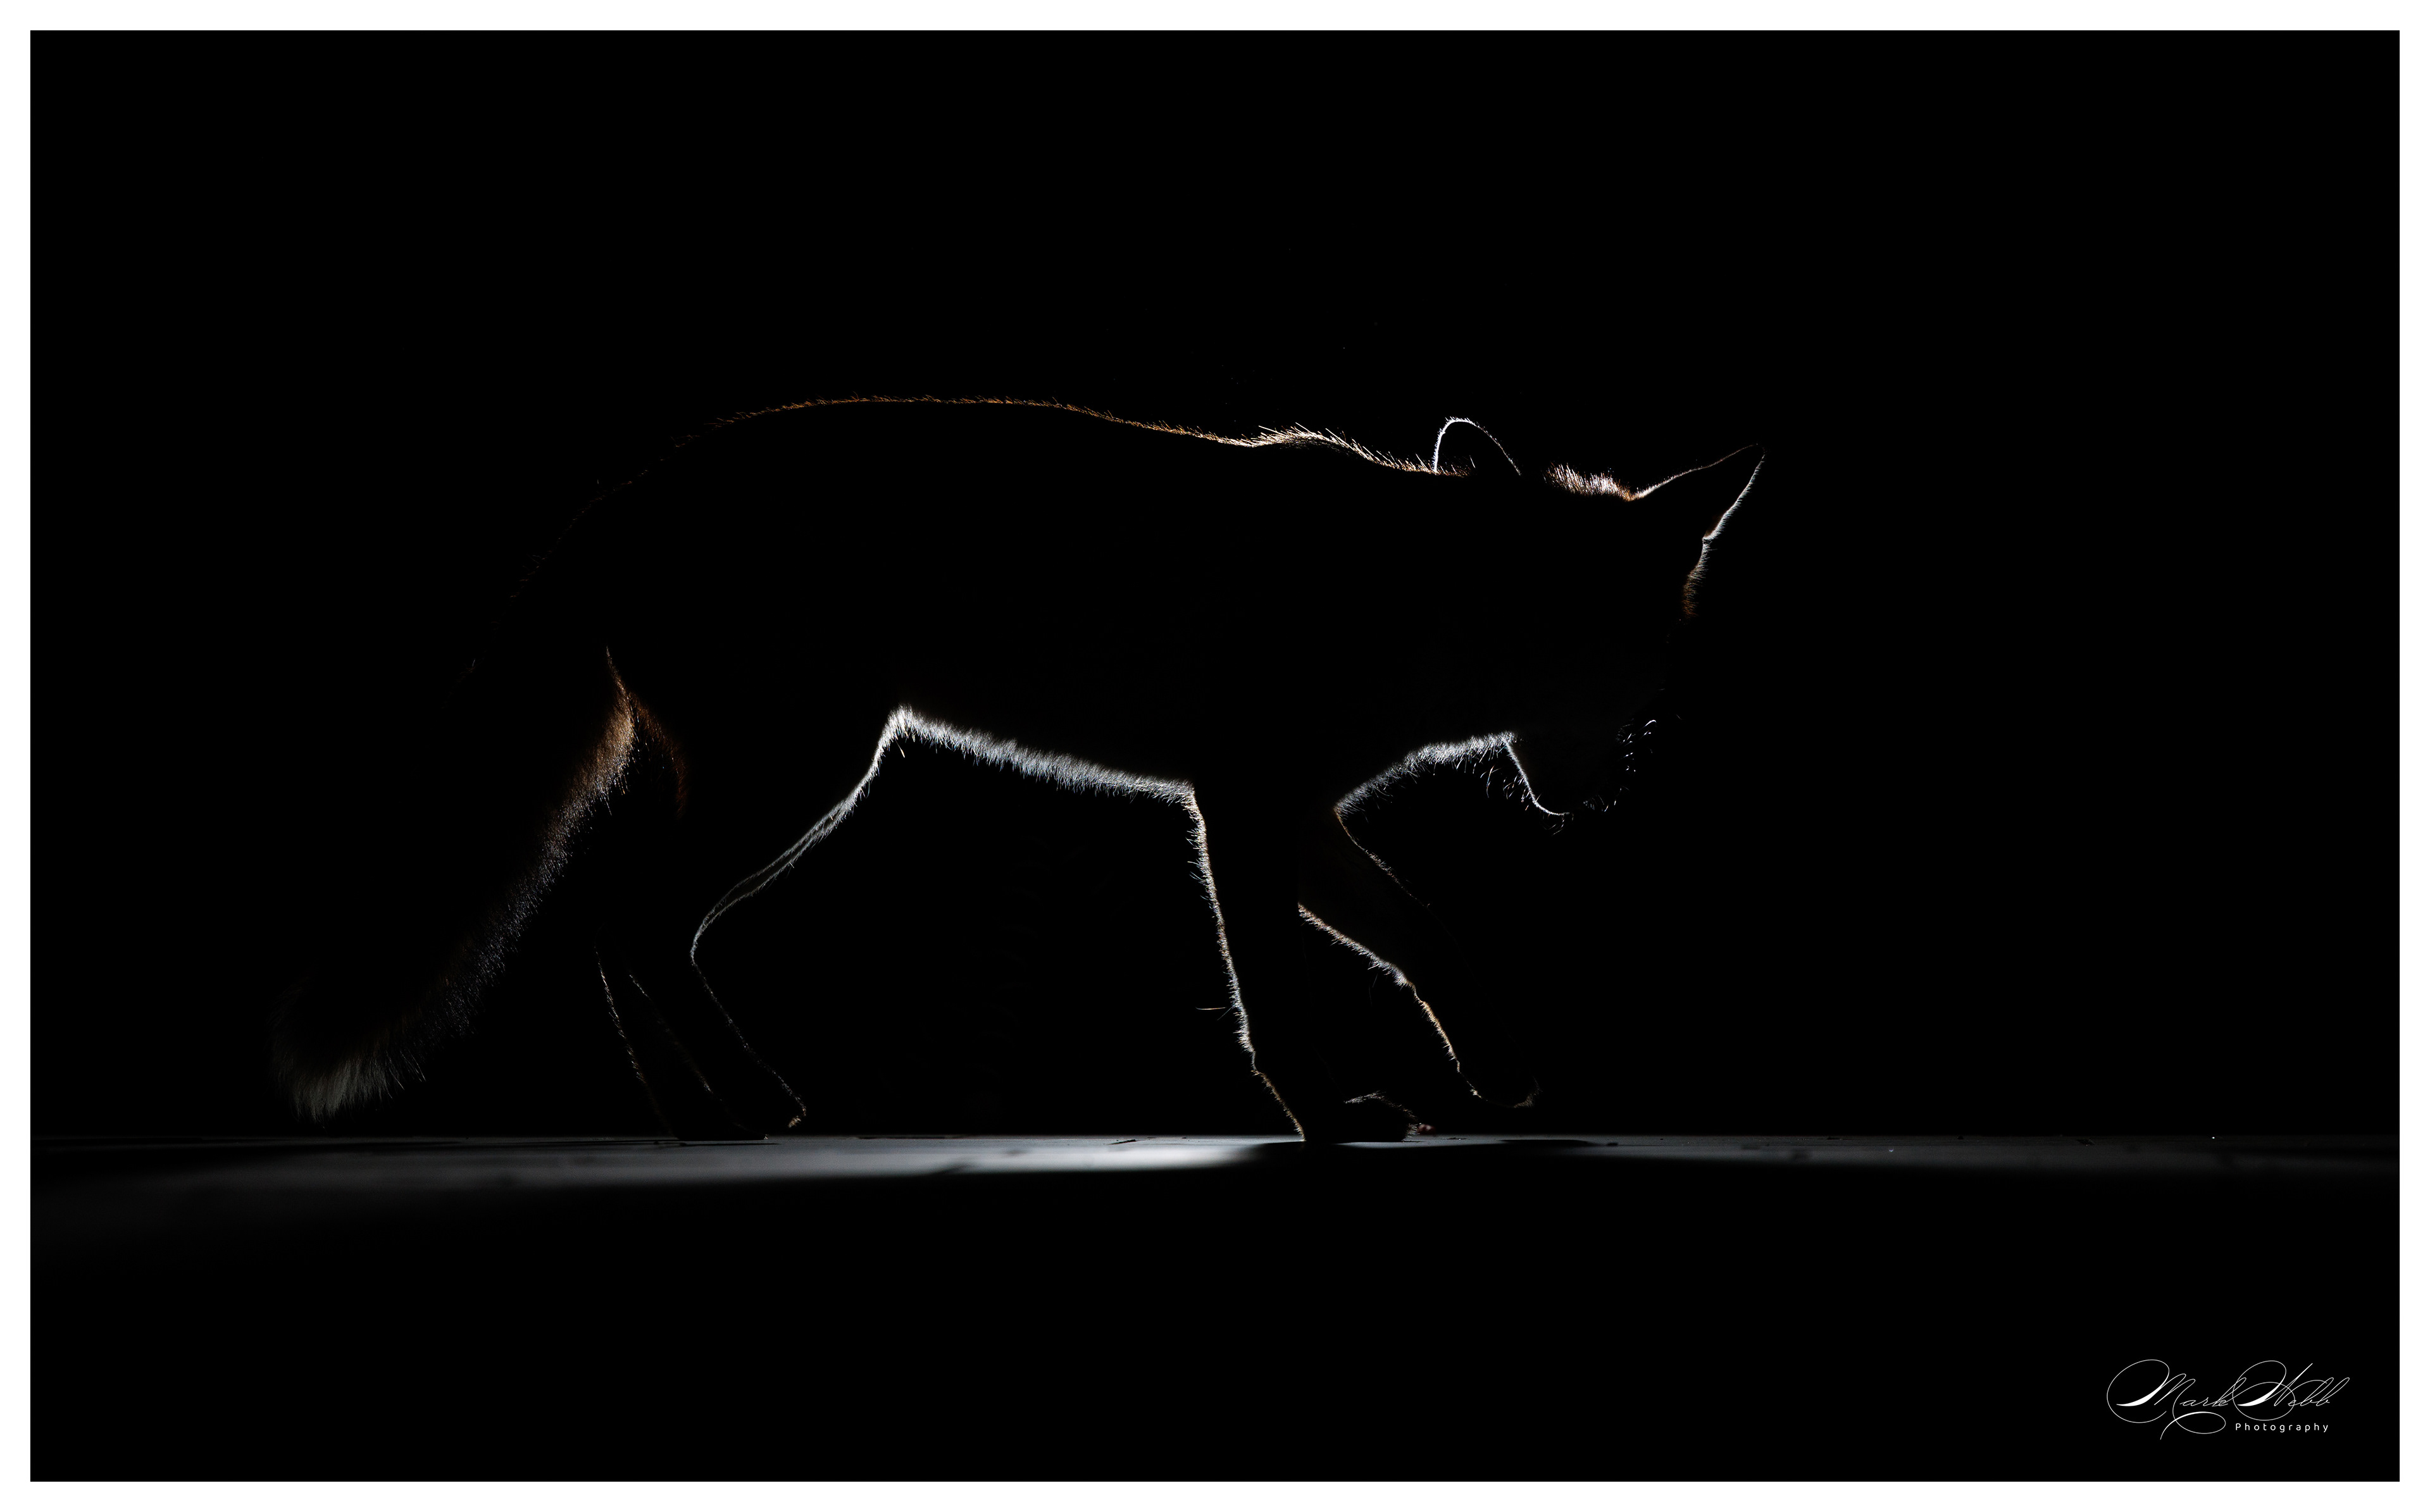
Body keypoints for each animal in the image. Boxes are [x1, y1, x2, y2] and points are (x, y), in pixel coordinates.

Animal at [271, 397, 1762, 1143]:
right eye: (1631, 682)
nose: (1604, 796)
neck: (1418, 601)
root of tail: (623, 492)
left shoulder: (1297, 814)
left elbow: (1426, 932)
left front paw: (1493, 1068)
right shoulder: (1244, 803)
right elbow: (1277, 989)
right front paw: (1325, 1114)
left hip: (772, 785)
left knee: (611, 922)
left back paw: (686, 1110)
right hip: (806, 774)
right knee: (630, 918)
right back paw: (736, 1101)